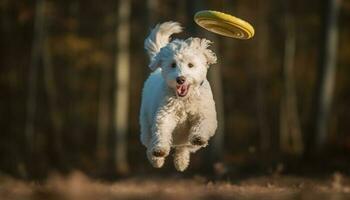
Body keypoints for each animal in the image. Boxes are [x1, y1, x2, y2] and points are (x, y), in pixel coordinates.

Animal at [140, 21, 217, 172]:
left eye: (190, 65)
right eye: (173, 64)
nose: (180, 79)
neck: (184, 100)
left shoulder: (206, 113)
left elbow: (203, 123)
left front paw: (199, 136)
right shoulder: (165, 114)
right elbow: (162, 129)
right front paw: (160, 150)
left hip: (187, 142)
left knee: (184, 147)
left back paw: (181, 162)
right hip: (146, 125)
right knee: (150, 142)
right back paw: (156, 159)